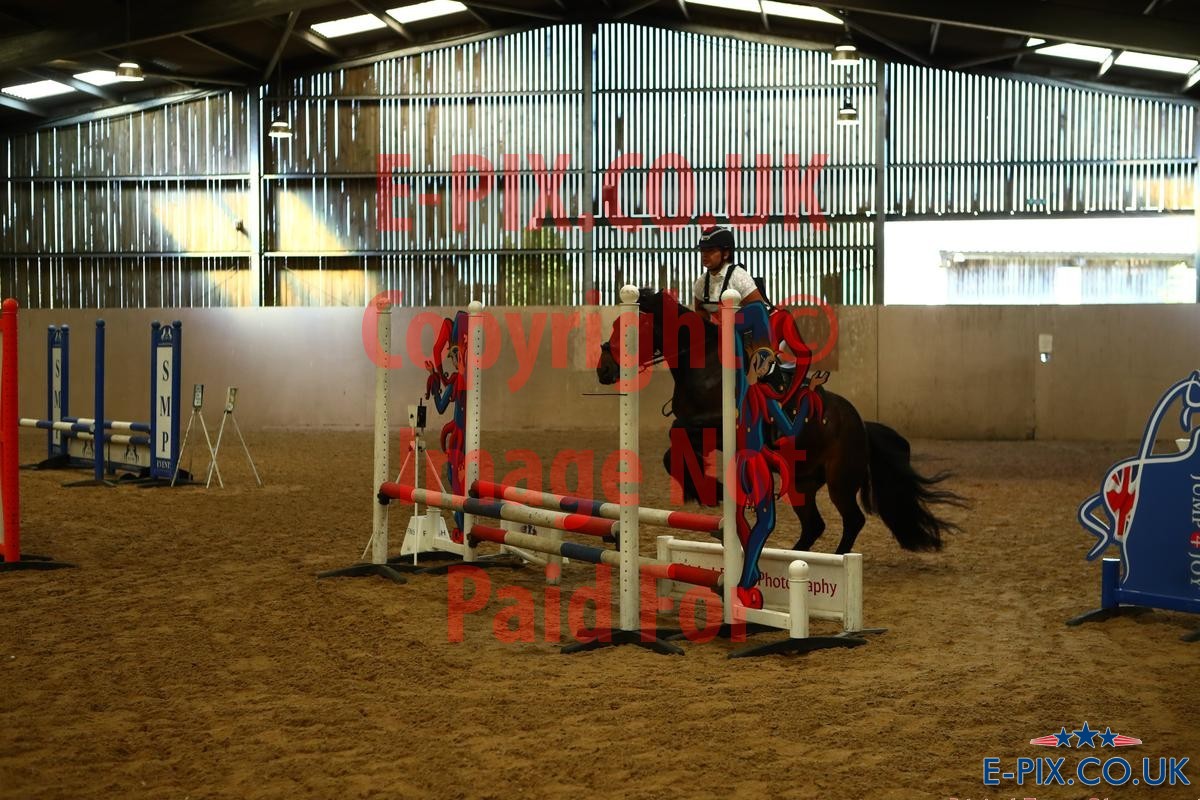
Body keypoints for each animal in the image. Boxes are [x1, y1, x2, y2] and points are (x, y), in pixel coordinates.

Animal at [597, 289, 964, 556]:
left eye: (627, 330)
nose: (603, 370)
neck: (703, 364)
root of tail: (860, 424)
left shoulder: (717, 424)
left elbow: (676, 438)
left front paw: (711, 489)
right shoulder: (701, 429)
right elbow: (672, 450)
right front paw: (705, 488)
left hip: (840, 482)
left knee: (852, 520)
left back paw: (835, 560)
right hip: (801, 482)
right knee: (814, 525)